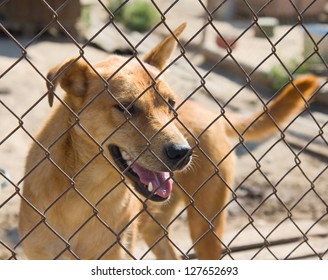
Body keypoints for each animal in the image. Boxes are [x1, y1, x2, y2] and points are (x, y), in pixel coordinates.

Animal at [18, 23, 318, 260]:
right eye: (126, 108)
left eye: (171, 104)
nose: (183, 152)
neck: (85, 197)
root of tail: (212, 113)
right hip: (155, 229)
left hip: (206, 227)